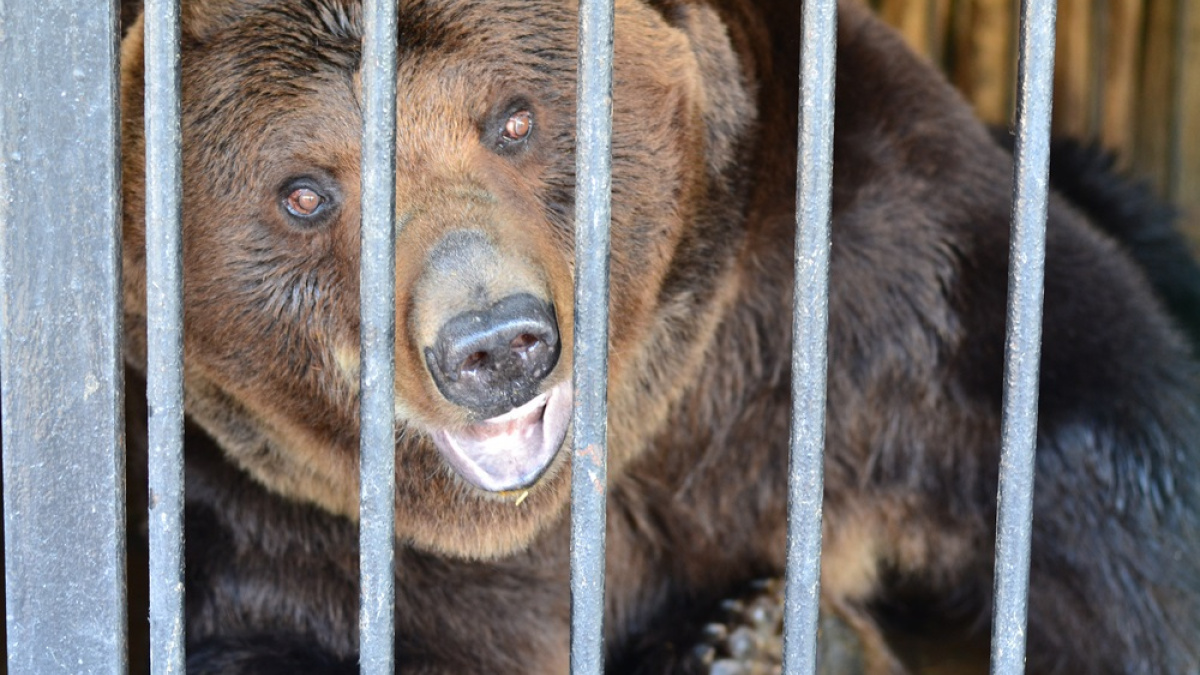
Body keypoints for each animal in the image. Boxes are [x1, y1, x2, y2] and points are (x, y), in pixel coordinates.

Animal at [117, 0, 1200, 667]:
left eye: (514, 119)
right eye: (304, 190)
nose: (494, 341)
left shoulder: (859, 264)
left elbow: (1091, 437)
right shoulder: (257, 531)